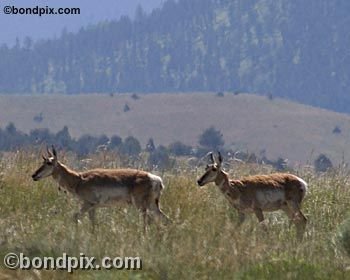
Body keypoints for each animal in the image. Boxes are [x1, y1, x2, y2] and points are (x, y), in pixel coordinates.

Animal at [31, 147, 170, 230]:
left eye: (49, 163)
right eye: (43, 162)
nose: (34, 175)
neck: (79, 179)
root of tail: (156, 179)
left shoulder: (88, 204)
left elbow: (75, 217)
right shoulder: (93, 208)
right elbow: (93, 223)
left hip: (141, 205)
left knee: (148, 220)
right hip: (152, 205)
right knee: (165, 219)